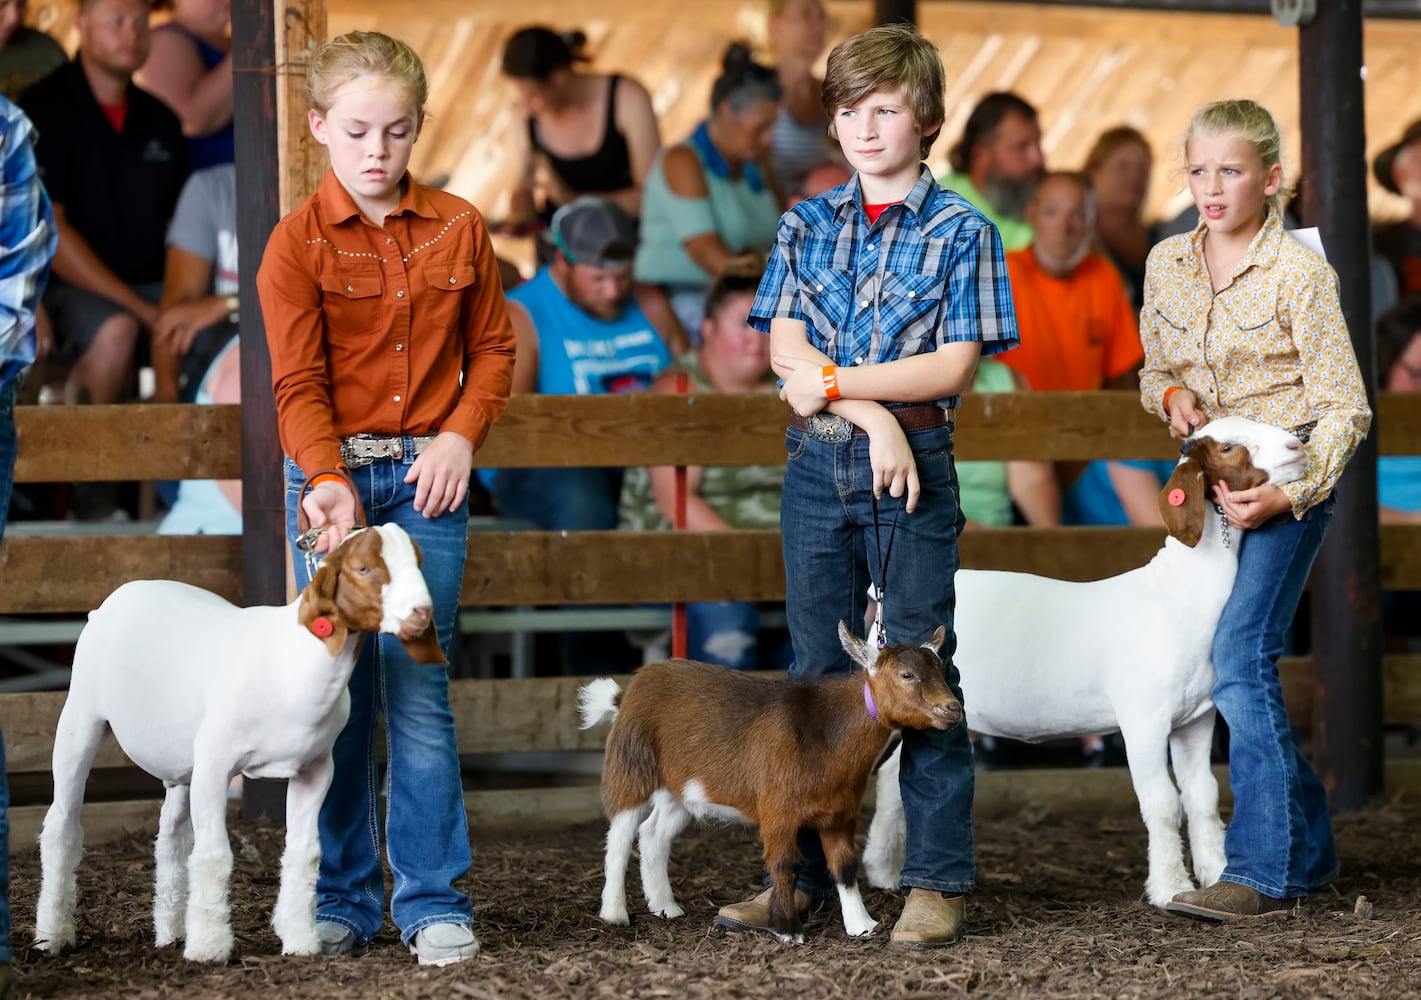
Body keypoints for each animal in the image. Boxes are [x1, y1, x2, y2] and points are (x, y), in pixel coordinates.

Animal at [34, 522, 443, 960]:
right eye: (363, 567)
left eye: (418, 561)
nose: (421, 614)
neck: (292, 664)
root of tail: (115, 598)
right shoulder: (215, 762)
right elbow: (214, 853)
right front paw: (209, 946)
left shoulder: (316, 769)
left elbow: (304, 852)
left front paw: (300, 940)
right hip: (81, 718)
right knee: (62, 826)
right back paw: (52, 934)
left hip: (182, 758)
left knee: (172, 836)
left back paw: (171, 929)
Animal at [576, 622, 966, 943]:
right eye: (906, 674)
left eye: (942, 670)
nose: (953, 709)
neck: (825, 733)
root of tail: (629, 691)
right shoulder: (778, 811)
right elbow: (785, 865)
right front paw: (788, 929)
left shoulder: (840, 812)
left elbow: (844, 865)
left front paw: (861, 925)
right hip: (632, 764)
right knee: (620, 834)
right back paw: (615, 913)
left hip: (682, 788)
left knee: (654, 833)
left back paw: (665, 907)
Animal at [858, 414, 1301, 909]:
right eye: (1227, 447)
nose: (1298, 445)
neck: (1175, 596)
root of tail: (882, 607)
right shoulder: (1143, 720)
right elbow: (1163, 803)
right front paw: (1169, 887)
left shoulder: (1195, 720)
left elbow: (1203, 796)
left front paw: (1216, 875)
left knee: (892, 779)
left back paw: (883, 869)